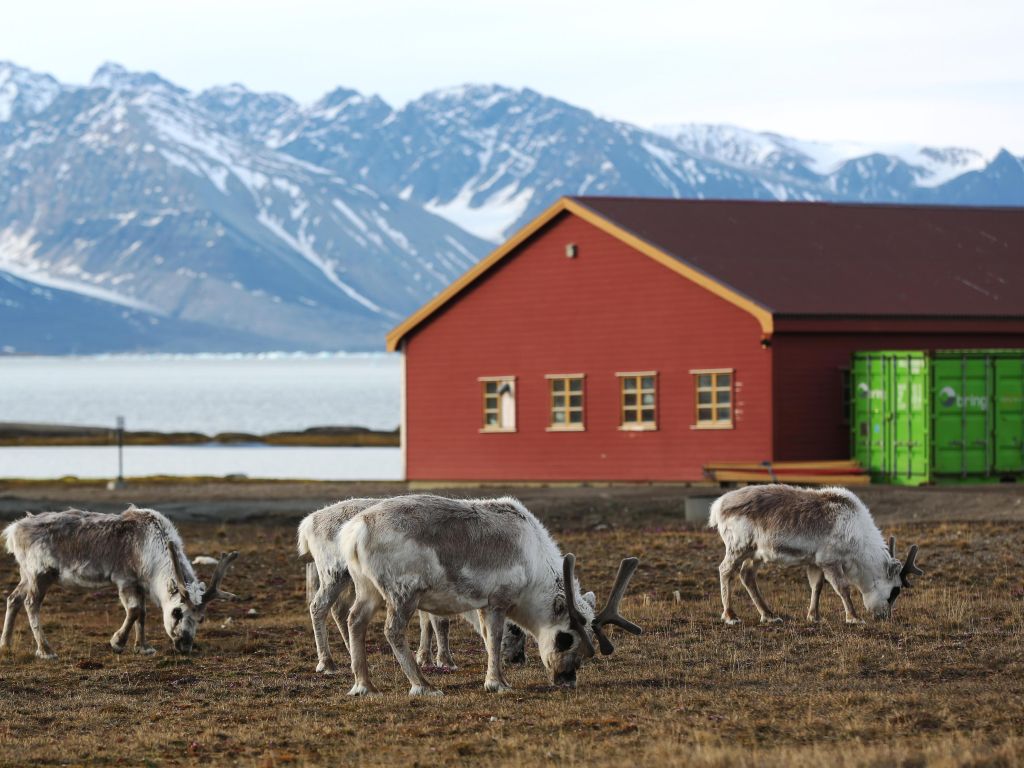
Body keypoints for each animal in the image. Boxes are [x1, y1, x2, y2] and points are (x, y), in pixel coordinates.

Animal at [1, 506, 238, 658]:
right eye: (176, 612)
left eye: (201, 618)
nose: (185, 645)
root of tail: (13, 530)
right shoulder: (125, 579)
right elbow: (133, 611)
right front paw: (117, 642)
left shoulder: (140, 584)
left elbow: (143, 614)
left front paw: (143, 647)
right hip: (39, 573)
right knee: (31, 604)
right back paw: (46, 650)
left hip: (27, 575)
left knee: (13, 599)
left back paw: (6, 645)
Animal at [297, 498, 527, 675]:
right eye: (515, 629)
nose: (519, 659)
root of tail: (308, 523)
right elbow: (441, 624)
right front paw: (446, 660)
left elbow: (427, 623)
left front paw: (424, 657)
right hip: (332, 573)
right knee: (318, 607)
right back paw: (327, 663)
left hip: (349, 579)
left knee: (340, 610)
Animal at [338, 494, 642, 696]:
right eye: (565, 638)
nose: (566, 679)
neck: (533, 565)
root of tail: (355, 531)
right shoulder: (498, 600)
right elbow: (494, 639)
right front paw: (498, 683)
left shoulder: (482, 606)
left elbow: (486, 638)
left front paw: (496, 678)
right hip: (403, 593)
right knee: (392, 630)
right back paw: (423, 686)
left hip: (367, 589)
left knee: (355, 620)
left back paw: (364, 686)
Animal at [708, 485, 924, 625]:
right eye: (894, 591)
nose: (885, 617)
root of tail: (718, 506)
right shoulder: (830, 561)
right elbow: (843, 588)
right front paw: (854, 618)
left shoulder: (816, 562)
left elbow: (817, 587)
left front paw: (814, 616)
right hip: (738, 547)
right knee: (725, 570)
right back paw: (730, 616)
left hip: (757, 554)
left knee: (747, 575)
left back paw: (770, 615)